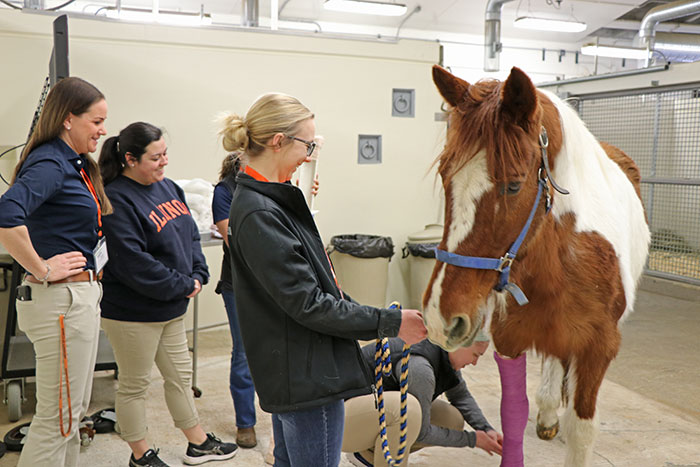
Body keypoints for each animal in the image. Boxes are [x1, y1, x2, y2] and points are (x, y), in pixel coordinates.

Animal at [422, 66, 652, 467]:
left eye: (514, 185)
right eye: (445, 177)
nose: (440, 318)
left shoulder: (598, 347)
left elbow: (582, 430)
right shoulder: (509, 340)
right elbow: (513, 413)